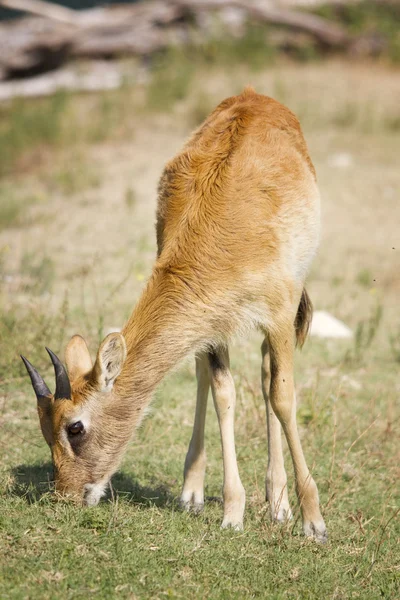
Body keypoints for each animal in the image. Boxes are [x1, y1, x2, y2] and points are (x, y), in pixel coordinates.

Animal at [20, 89, 328, 544]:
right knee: (210, 375)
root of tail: (254, 95)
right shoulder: (213, 324)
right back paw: (195, 493)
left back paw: (279, 504)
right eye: (44, 428)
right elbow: (223, 394)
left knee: (268, 376)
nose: (66, 495)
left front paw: (313, 521)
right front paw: (232, 512)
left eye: (74, 427)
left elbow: (282, 398)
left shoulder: (279, 312)